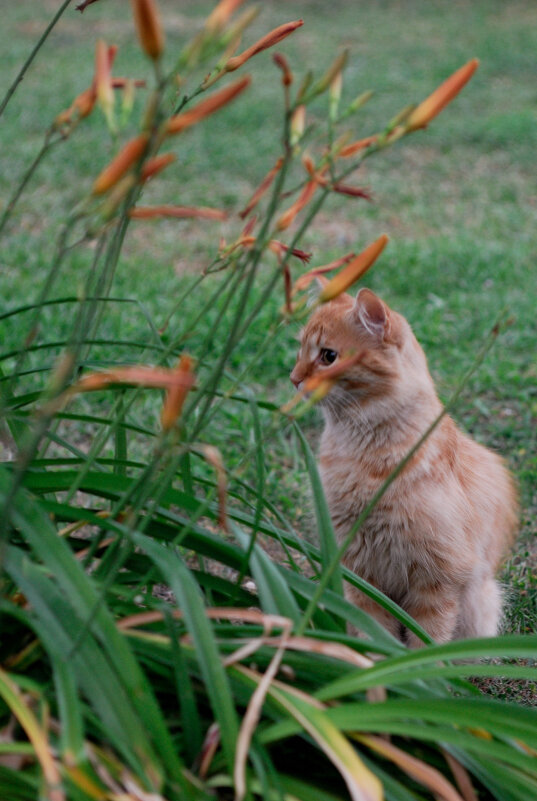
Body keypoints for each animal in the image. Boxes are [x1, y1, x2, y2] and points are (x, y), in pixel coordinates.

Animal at [292, 288, 516, 644]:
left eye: (328, 356)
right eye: (300, 352)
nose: (294, 379)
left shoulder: (436, 578)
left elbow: (427, 636)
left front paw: (416, 661)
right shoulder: (359, 569)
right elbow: (373, 628)